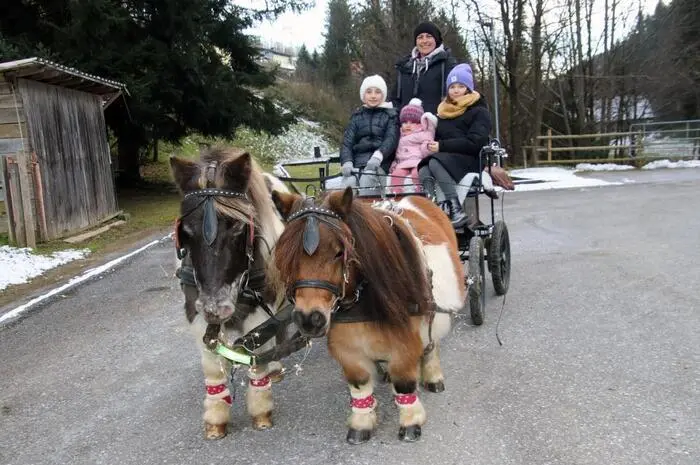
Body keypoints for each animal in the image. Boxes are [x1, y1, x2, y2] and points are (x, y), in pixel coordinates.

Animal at [170, 147, 291, 439]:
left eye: (237, 226)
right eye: (185, 231)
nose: (216, 308)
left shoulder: (260, 310)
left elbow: (257, 356)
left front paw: (261, 412)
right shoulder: (196, 312)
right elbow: (213, 367)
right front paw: (216, 418)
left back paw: (275, 368)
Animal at [270, 187, 466, 443]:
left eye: (339, 252)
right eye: (287, 255)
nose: (309, 319)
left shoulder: (405, 345)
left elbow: (404, 383)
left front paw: (411, 421)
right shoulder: (348, 349)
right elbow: (359, 384)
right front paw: (362, 423)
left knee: (432, 343)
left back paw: (433, 375)